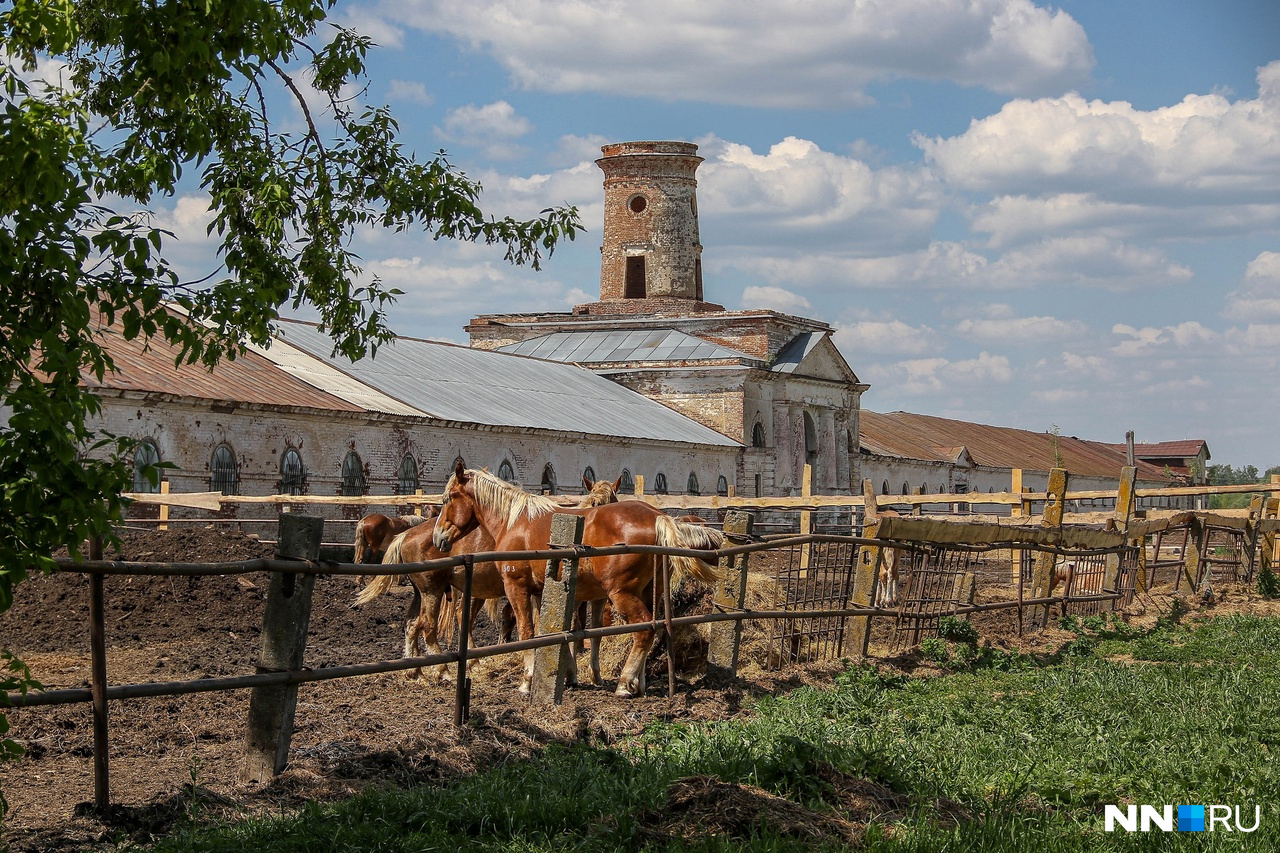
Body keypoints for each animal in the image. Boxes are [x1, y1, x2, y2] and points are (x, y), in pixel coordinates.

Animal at [435, 461, 727, 696]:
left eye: (448, 498)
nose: (439, 537)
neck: (516, 521)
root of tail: (658, 516)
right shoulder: (546, 592)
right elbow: (556, 631)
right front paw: (565, 673)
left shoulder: (517, 587)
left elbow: (528, 631)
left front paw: (528, 680)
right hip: (648, 592)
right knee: (651, 627)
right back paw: (638, 683)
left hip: (622, 594)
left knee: (644, 629)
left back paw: (624, 683)